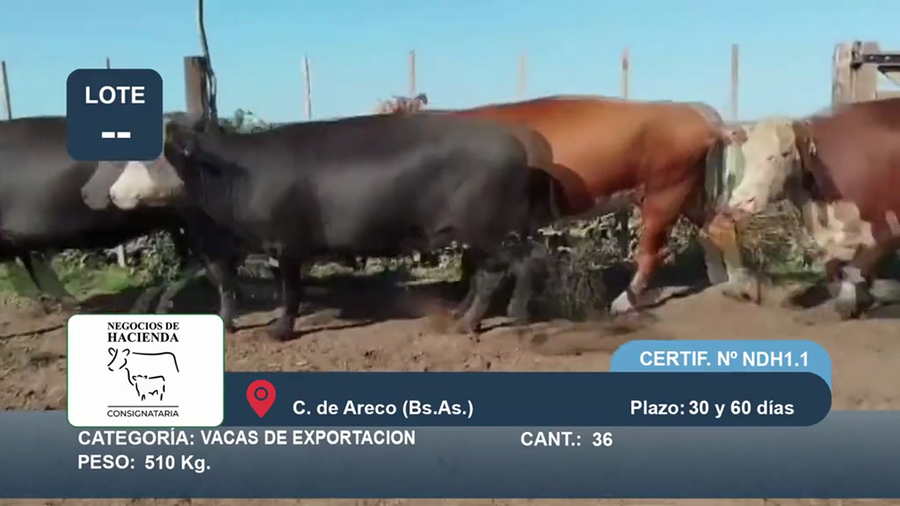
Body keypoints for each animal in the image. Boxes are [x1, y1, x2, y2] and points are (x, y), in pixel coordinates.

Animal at [82, 112, 564, 341]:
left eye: (147, 156)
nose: (109, 194)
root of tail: (517, 145)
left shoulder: (287, 242)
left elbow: (289, 291)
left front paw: (279, 331)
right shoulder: (224, 244)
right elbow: (226, 284)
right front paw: (227, 323)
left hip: (488, 228)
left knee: (515, 264)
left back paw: (498, 318)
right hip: (478, 233)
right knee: (502, 268)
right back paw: (473, 318)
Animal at [391, 96, 731, 314]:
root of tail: (693, 112)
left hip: (665, 193)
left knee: (651, 253)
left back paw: (623, 303)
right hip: (687, 191)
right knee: (716, 227)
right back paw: (724, 281)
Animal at [707, 98, 900, 319]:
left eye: (785, 153)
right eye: (746, 155)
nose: (742, 201)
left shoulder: (884, 226)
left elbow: (859, 266)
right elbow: (836, 266)